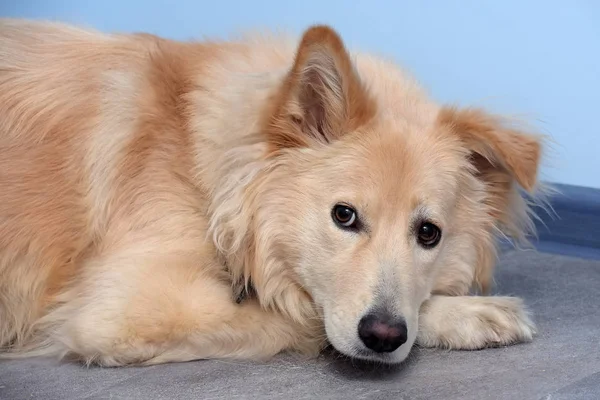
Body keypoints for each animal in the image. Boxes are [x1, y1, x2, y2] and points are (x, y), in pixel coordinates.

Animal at [0, 20, 544, 368]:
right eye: (344, 216)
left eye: (429, 233)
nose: (384, 336)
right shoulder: (124, 309)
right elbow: (303, 316)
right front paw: (466, 315)